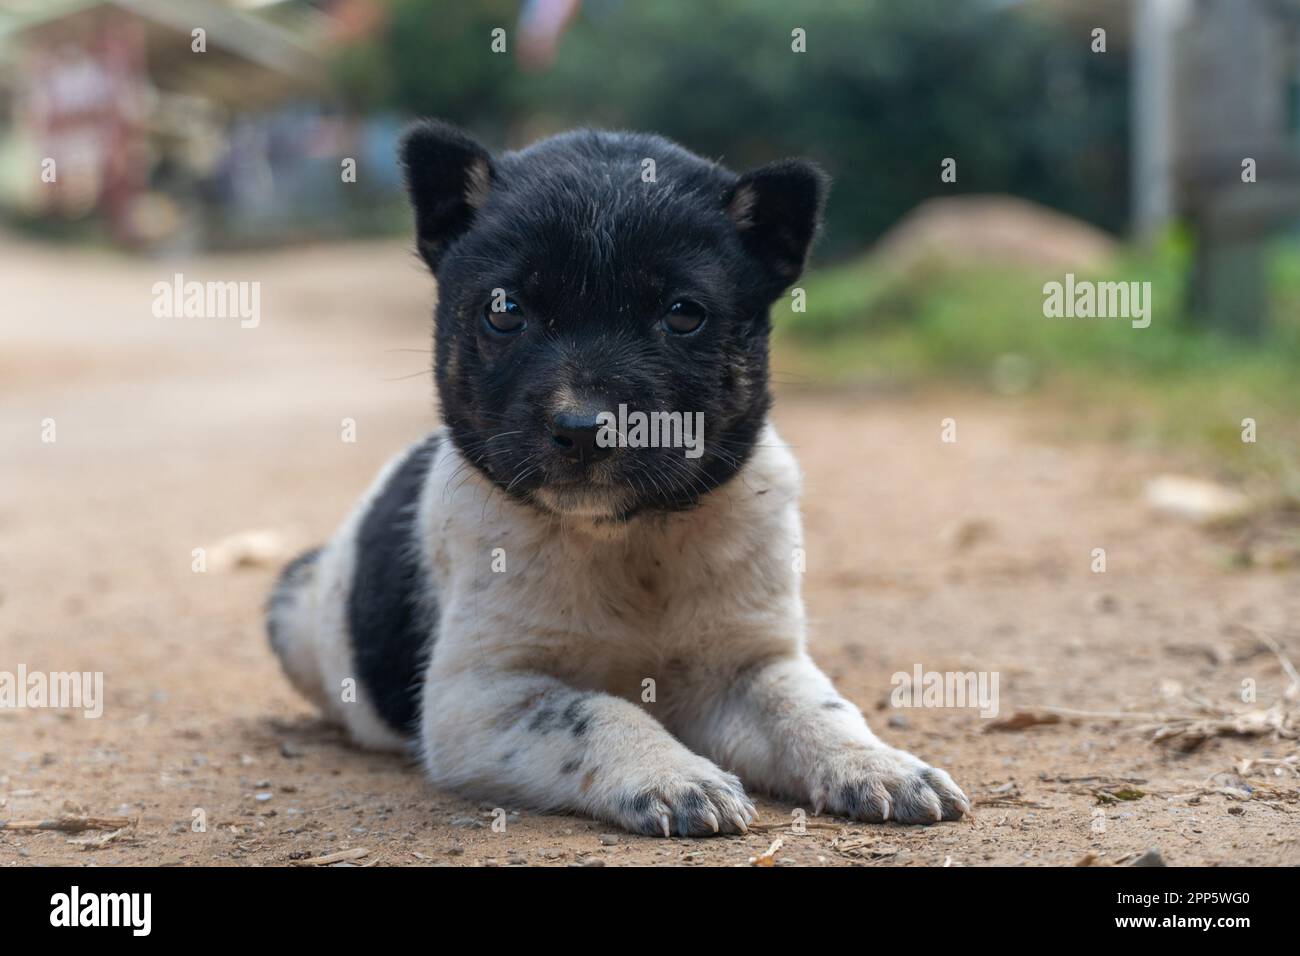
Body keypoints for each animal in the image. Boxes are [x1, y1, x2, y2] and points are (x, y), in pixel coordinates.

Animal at [269, 119, 972, 837]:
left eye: (683, 314)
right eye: (505, 310)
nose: (585, 428)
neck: (628, 538)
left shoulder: (749, 666)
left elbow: (812, 708)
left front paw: (878, 765)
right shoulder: (480, 698)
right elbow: (595, 711)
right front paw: (673, 777)